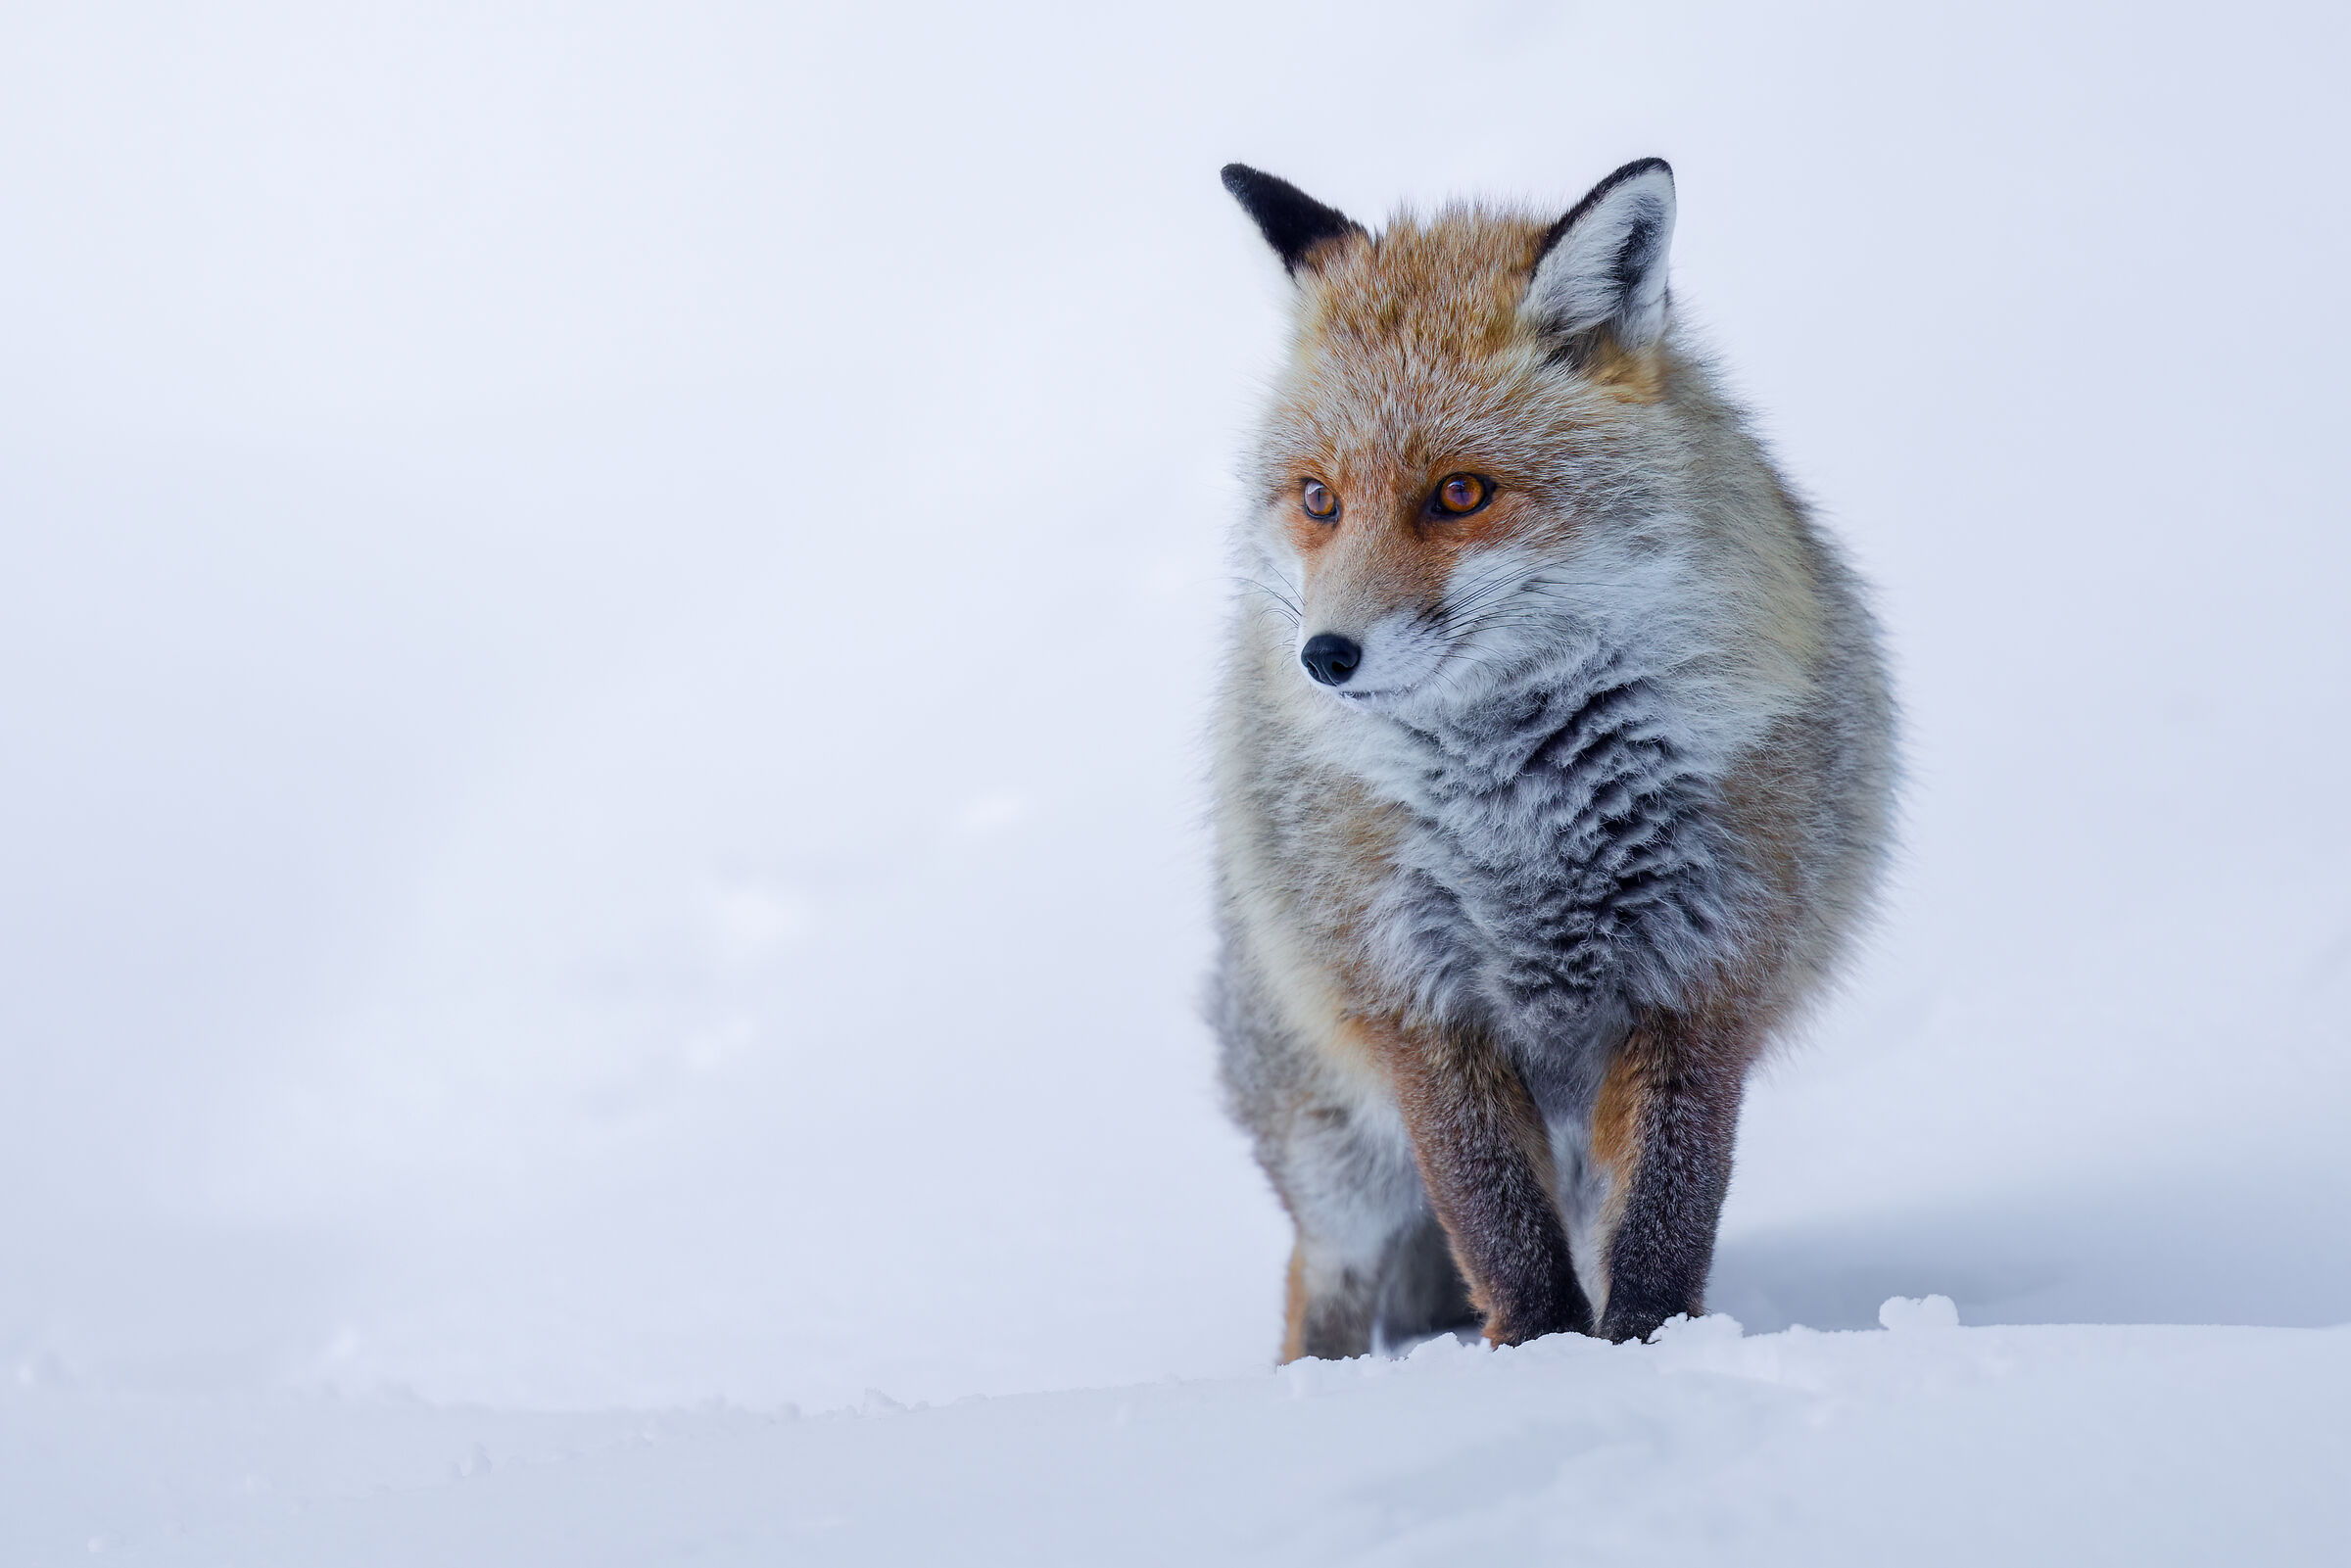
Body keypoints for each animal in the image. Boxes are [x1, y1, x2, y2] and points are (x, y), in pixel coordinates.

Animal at [1209, 159, 1895, 1359]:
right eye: (1318, 499)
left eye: (1461, 494)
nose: (1324, 657)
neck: (1525, 807)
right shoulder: (1413, 997)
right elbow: (1498, 1226)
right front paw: (1545, 1361)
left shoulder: (1706, 975)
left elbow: (1667, 1215)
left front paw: (1642, 1354)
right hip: (1336, 1151)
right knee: (1326, 1275)